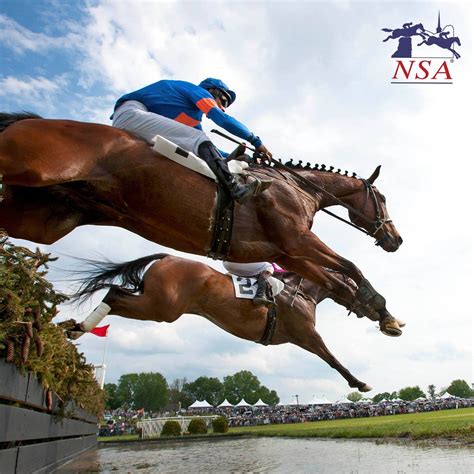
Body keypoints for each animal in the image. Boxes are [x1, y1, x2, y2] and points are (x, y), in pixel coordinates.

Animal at [0, 112, 404, 334]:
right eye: (383, 198)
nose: (396, 239)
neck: (298, 188)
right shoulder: (297, 240)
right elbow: (351, 267)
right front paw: (379, 308)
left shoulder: (286, 252)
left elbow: (337, 280)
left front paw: (380, 313)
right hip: (29, 170)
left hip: (45, 219)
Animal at [63, 254, 380, 390]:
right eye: (359, 288)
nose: (375, 312)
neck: (301, 291)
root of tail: (166, 257)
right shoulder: (306, 335)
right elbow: (332, 359)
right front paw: (360, 383)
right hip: (161, 307)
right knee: (115, 294)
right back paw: (80, 329)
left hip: (155, 302)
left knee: (115, 292)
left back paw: (75, 328)